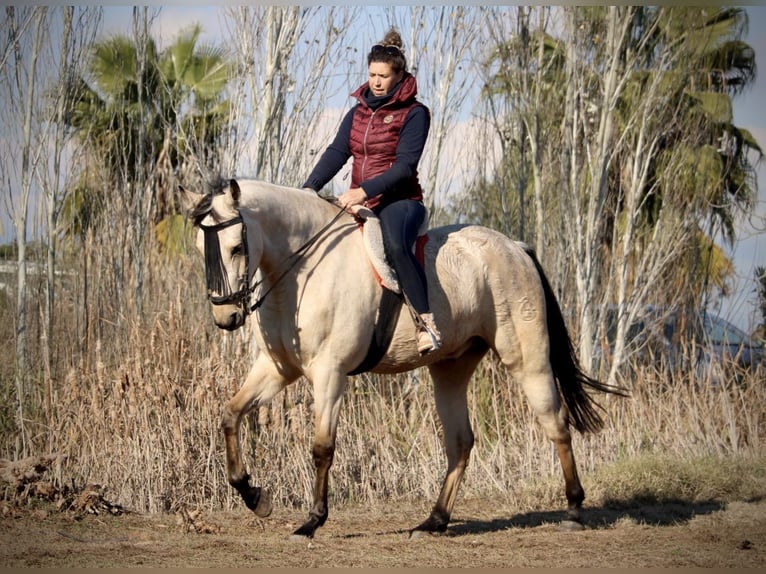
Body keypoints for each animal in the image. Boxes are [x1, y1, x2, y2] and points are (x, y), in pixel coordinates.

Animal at [183, 178, 628, 544]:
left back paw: (573, 510)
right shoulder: (277, 369)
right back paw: (434, 521)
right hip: (450, 369)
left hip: (528, 362)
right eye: (199, 249)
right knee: (460, 442)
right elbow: (230, 415)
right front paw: (255, 496)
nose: (226, 317)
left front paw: (311, 522)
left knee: (556, 424)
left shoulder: (330, 374)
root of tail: (516, 248)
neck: (303, 271)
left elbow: (322, 448)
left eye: (236, 248)